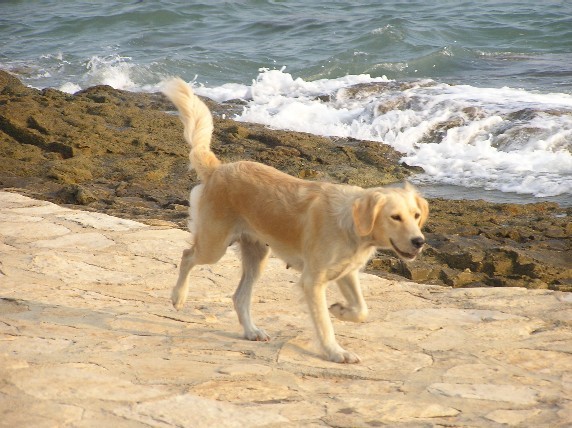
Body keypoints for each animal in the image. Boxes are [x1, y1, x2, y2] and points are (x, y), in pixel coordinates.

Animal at [161, 78, 428, 362]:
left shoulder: (346, 272)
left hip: (257, 255)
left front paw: (340, 310)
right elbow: (323, 324)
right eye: (395, 217)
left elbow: (361, 309)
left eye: (416, 215)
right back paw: (178, 297)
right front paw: (335, 351)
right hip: (214, 245)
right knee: (187, 255)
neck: (350, 224)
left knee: (239, 296)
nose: (419, 241)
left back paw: (251, 331)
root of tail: (219, 168)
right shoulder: (313, 281)